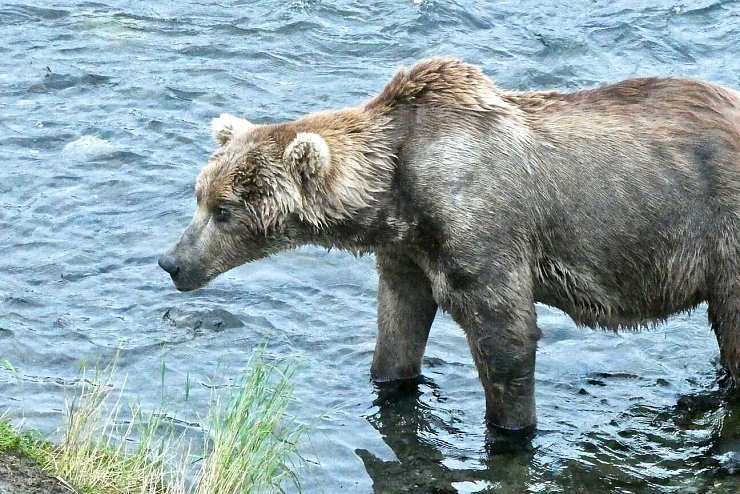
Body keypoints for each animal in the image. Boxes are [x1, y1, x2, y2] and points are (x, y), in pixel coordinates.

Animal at [159, 58, 740, 436]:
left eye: (224, 210)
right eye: (198, 195)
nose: (172, 262)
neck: (397, 191)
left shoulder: (481, 228)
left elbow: (507, 339)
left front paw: (511, 430)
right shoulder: (406, 253)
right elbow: (400, 325)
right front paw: (390, 382)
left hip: (722, 234)